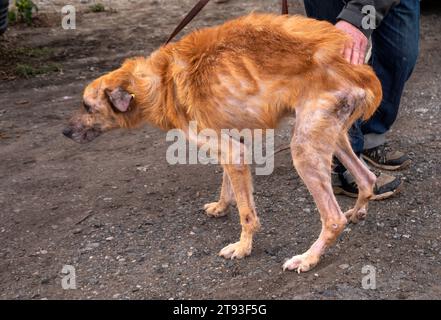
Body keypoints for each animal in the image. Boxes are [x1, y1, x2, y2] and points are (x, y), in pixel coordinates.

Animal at [62, 13, 382, 272]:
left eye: (87, 107)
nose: (64, 132)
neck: (160, 80)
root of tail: (357, 70)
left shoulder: (231, 150)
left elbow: (247, 214)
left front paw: (243, 247)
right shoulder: (233, 145)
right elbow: (228, 183)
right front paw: (221, 206)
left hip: (304, 150)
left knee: (334, 219)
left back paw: (309, 258)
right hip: (332, 137)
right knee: (367, 178)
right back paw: (358, 211)